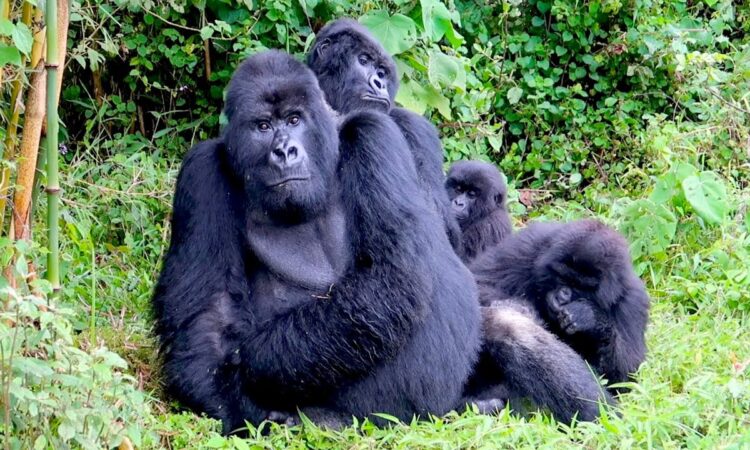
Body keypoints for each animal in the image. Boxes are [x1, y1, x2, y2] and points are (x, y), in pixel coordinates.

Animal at [152, 51, 482, 434]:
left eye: (294, 119)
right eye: (263, 126)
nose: (285, 151)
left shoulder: (374, 135)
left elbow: (394, 276)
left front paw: (252, 362)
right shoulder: (202, 170)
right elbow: (208, 312)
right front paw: (232, 406)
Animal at [446, 162, 652, 386]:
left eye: (580, 287)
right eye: (562, 277)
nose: (562, 295)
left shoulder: (632, 300)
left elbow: (625, 376)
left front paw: (590, 318)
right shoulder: (530, 244)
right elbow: (478, 282)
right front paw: (525, 310)